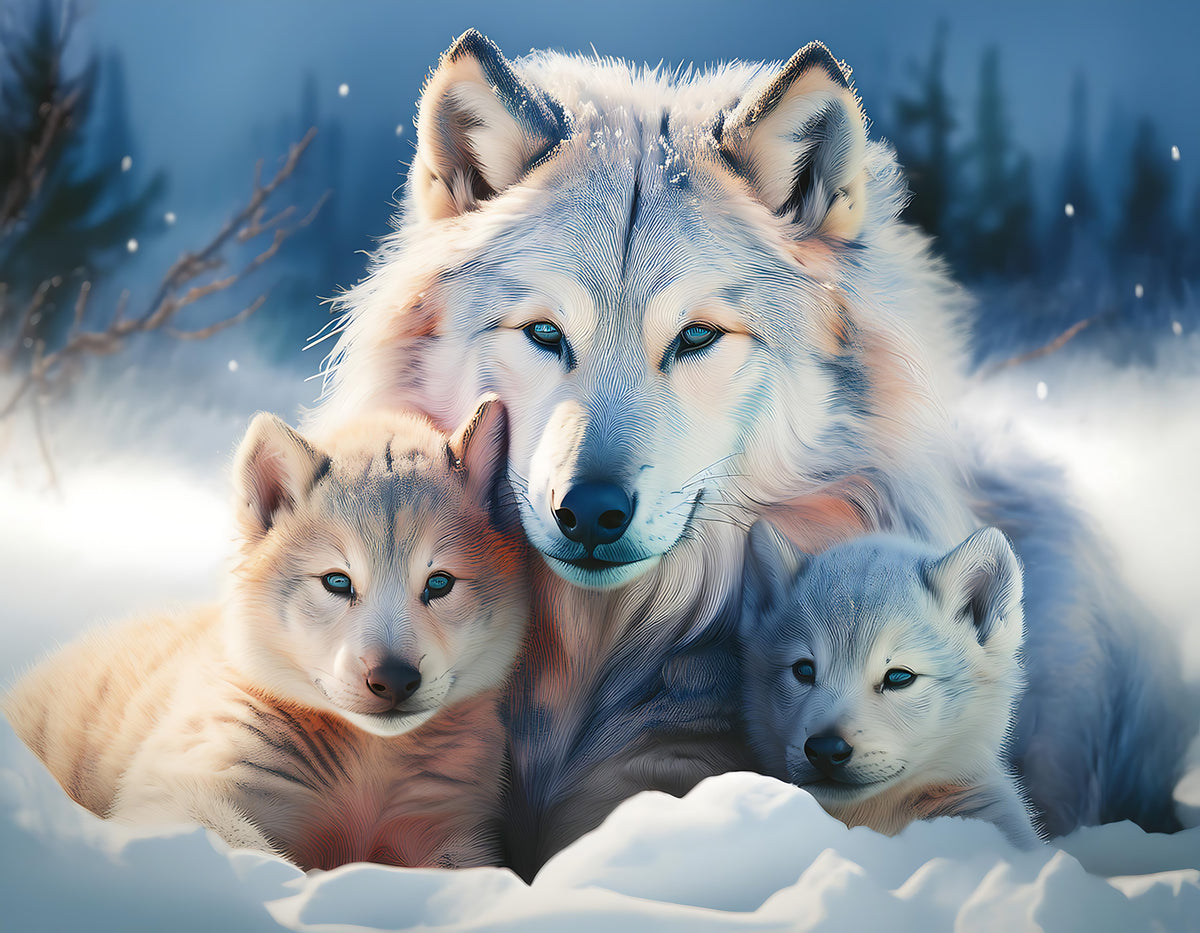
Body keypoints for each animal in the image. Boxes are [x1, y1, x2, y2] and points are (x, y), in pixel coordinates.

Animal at [4, 397, 529, 870]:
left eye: (439, 583)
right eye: (337, 581)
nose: (394, 679)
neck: (369, 762)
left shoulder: (454, 825)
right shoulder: (182, 785)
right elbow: (252, 852)